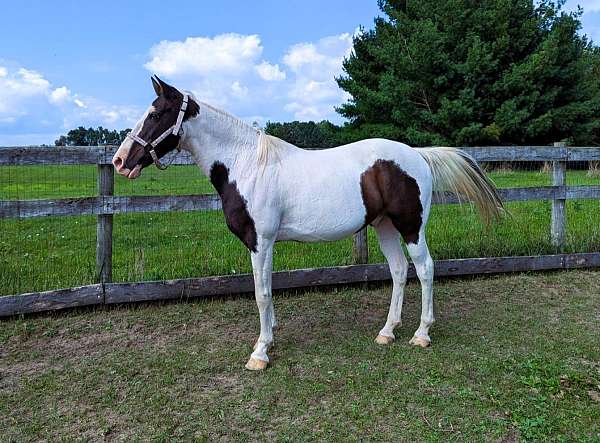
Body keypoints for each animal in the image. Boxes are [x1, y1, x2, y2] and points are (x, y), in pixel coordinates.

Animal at [111, 76, 502, 372]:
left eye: (156, 112)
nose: (119, 160)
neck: (246, 165)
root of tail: (417, 155)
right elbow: (266, 291)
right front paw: (269, 336)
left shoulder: (261, 241)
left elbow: (262, 293)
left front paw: (260, 352)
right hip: (384, 227)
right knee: (398, 271)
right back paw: (387, 332)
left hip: (411, 227)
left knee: (425, 270)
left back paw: (421, 334)